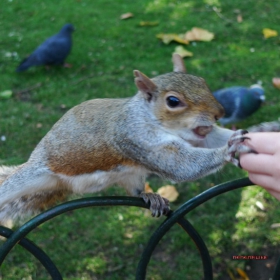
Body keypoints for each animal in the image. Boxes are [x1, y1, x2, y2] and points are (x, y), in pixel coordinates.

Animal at [0, 54, 255, 224]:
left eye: (201, 81)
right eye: (173, 101)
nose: (219, 113)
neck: (148, 117)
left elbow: (210, 138)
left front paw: (245, 135)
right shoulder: (137, 139)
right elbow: (180, 166)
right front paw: (226, 150)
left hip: (131, 175)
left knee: (136, 191)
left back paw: (151, 196)